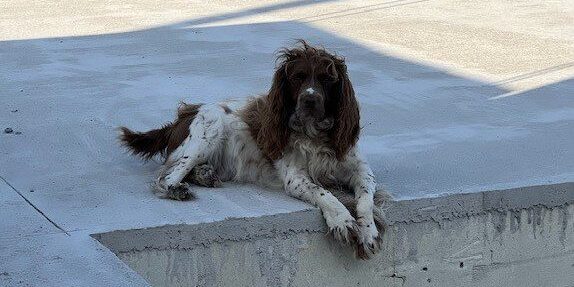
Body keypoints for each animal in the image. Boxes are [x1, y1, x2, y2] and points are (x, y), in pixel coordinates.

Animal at [121, 41, 392, 260]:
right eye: (298, 77)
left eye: (327, 79)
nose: (309, 100)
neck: (314, 135)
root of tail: (185, 114)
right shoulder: (296, 178)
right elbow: (325, 194)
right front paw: (343, 221)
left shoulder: (360, 169)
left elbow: (365, 200)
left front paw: (369, 233)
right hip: (211, 126)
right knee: (166, 175)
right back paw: (178, 188)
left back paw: (205, 175)